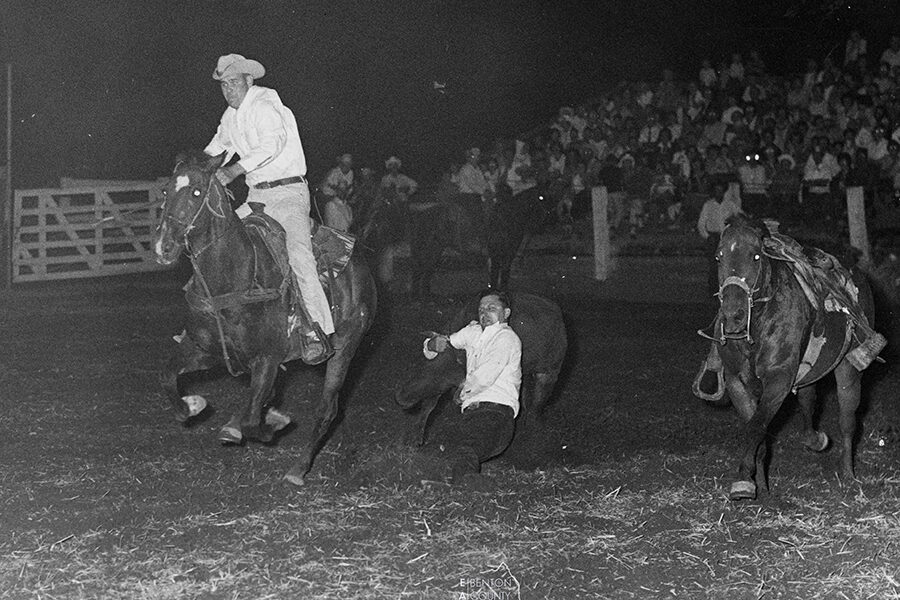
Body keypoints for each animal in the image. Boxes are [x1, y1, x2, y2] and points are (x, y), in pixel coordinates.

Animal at [154, 151, 376, 488]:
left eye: (196, 192)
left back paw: (298, 468)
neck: (234, 279)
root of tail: (363, 266)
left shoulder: (267, 360)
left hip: (345, 348)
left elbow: (253, 420)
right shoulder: (204, 350)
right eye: (166, 190)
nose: (163, 246)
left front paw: (273, 423)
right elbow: (168, 376)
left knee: (327, 408)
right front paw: (193, 405)